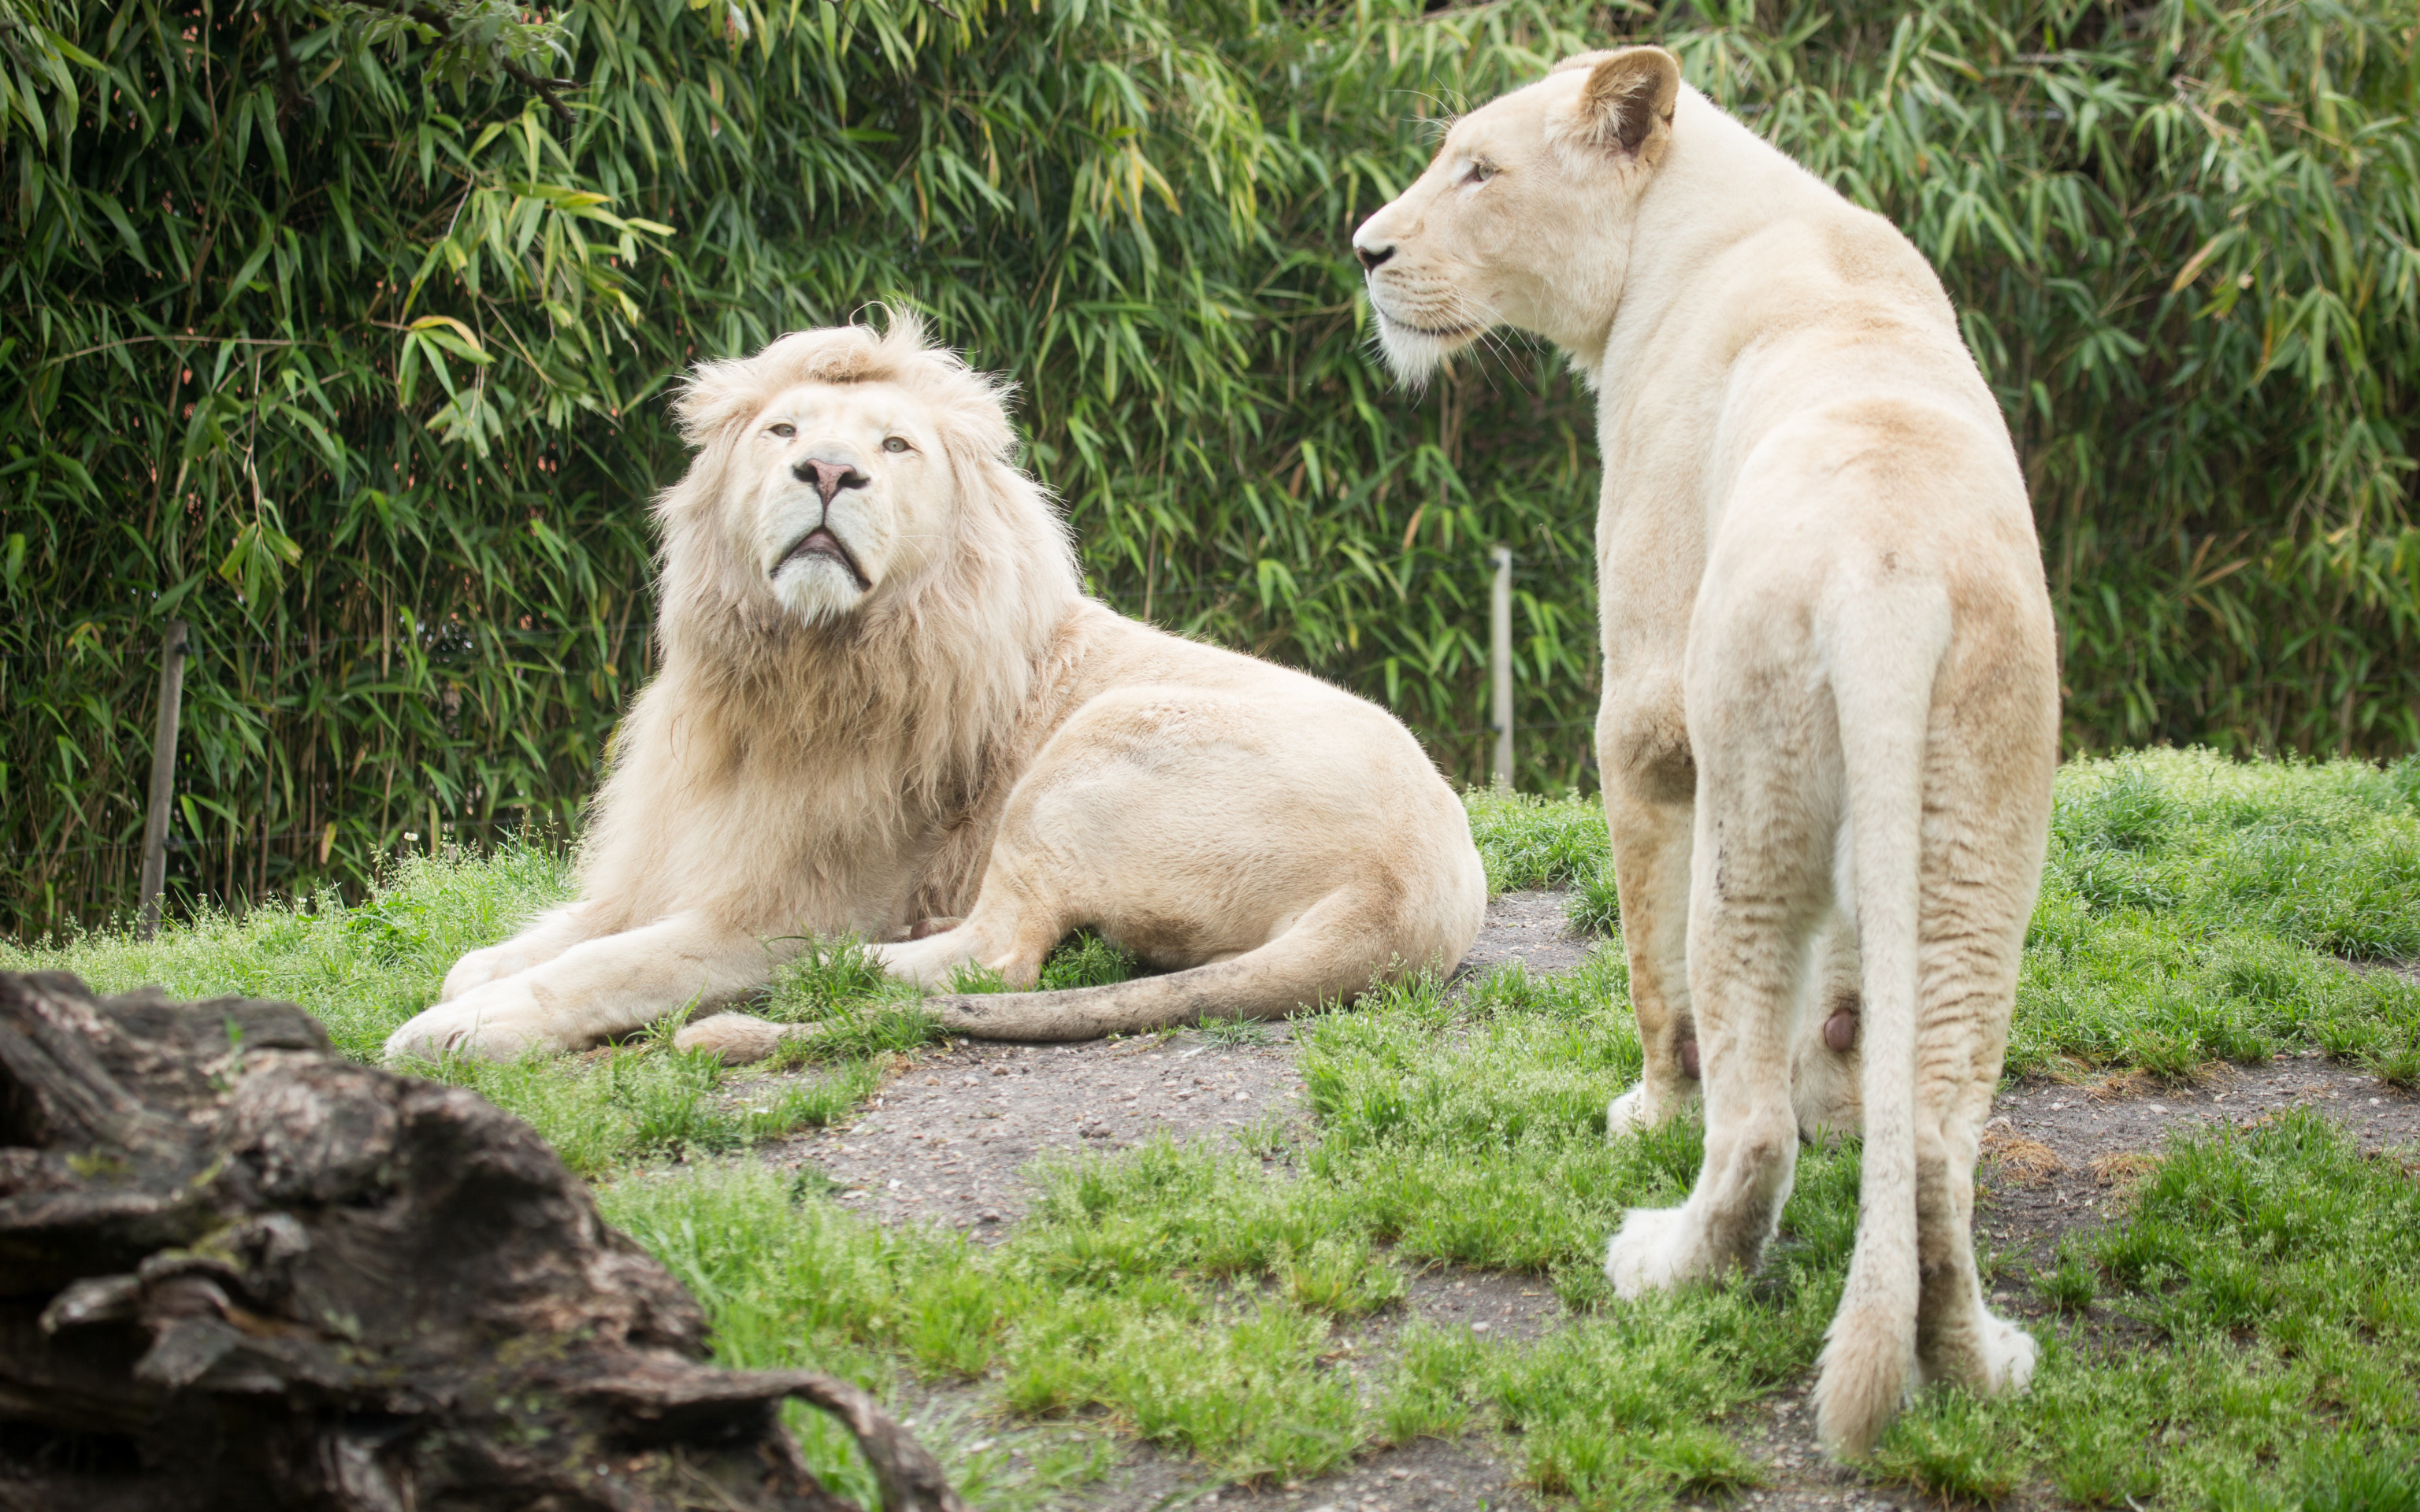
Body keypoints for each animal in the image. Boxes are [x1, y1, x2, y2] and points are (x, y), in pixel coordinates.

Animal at [380, 321, 1481, 1059]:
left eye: (894, 446)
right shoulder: (671, 859)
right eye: (783, 432)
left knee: (991, 958)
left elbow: (608, 964)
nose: (828, 472)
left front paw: (464, 1026)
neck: (791, 669)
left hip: (1098, 740)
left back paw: (833, 973)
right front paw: (480, 975)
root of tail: (1405, 898)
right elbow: (550, 937)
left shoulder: (779, 904)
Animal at [1355, 46, 2052, 1451]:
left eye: (1479, 170)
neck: (1689, 222)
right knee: (1936, 1146)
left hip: (1754, 793)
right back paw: (1979, 1362)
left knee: (1748, 1121)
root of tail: (1888, 572)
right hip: (1978, 843)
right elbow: (1847, 1005)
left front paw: (1645, 1116)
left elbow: (1646, 972)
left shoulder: (1644, 708)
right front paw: (1844, 1087)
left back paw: (1665, 1263)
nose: (1367, 250)